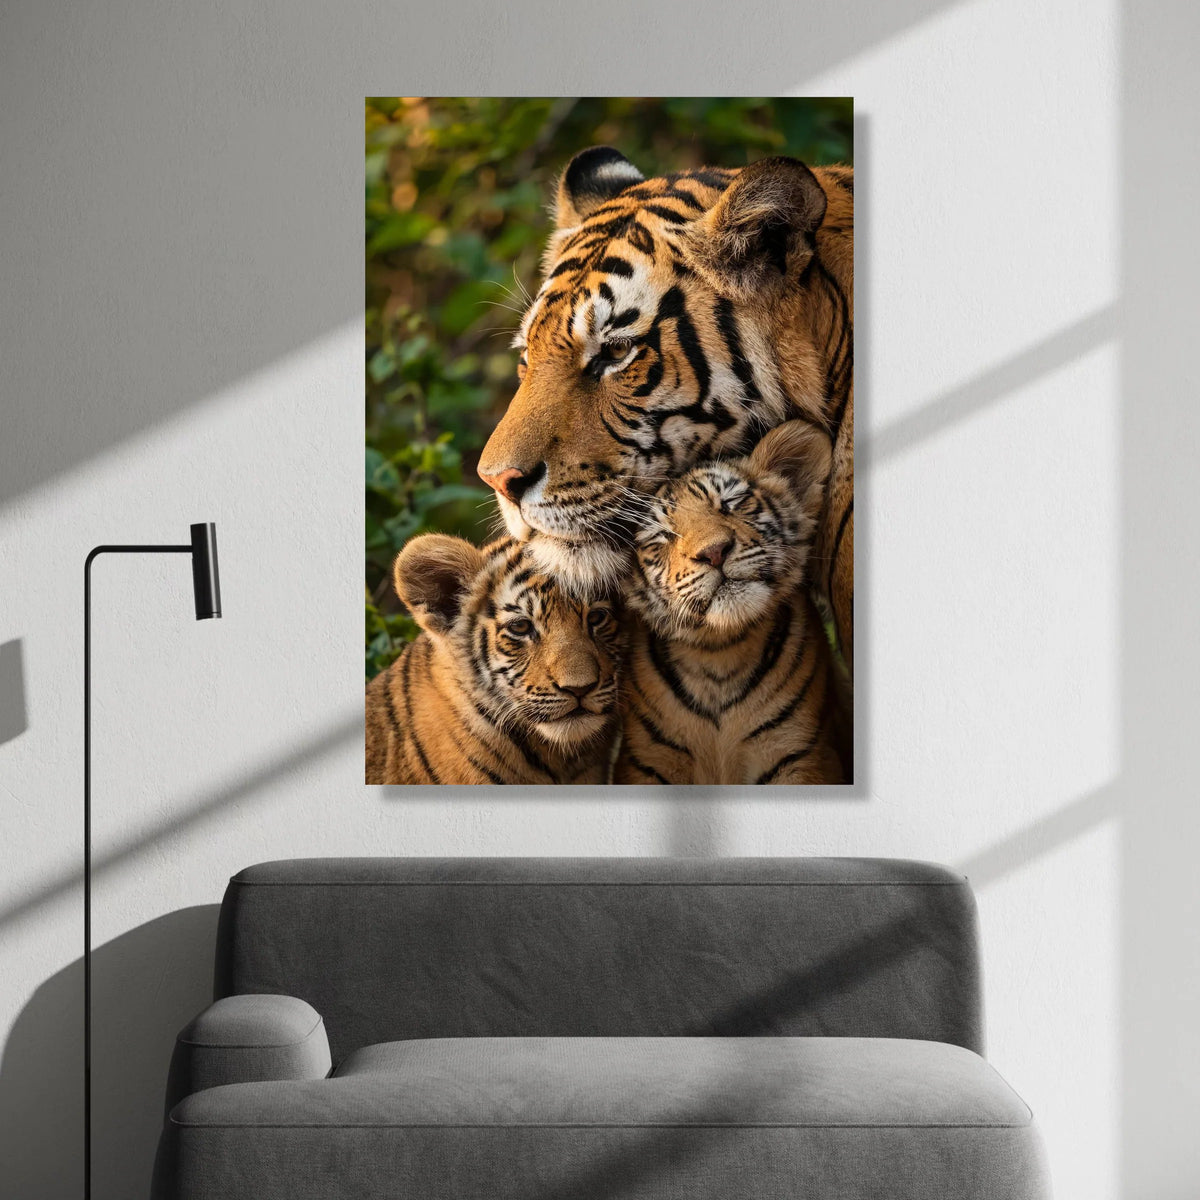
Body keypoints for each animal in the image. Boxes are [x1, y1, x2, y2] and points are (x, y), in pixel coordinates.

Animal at [614, 420, 847, 786]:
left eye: (732, 503)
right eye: (662, 537)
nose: (714, 552)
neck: (719, 655)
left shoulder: (801, 755)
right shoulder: (646, 764)